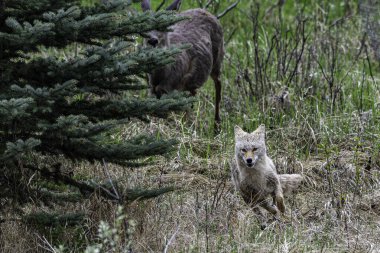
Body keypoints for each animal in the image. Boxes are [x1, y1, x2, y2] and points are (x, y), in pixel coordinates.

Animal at [141, 0, 224, 128]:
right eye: (144, 28)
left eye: (163, 27)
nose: (153, 41)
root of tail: (205, 11)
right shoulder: (153, 91)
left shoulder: (171, 88)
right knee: (193, 94)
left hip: (217, 59)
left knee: (218, 84)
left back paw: (216, 125)